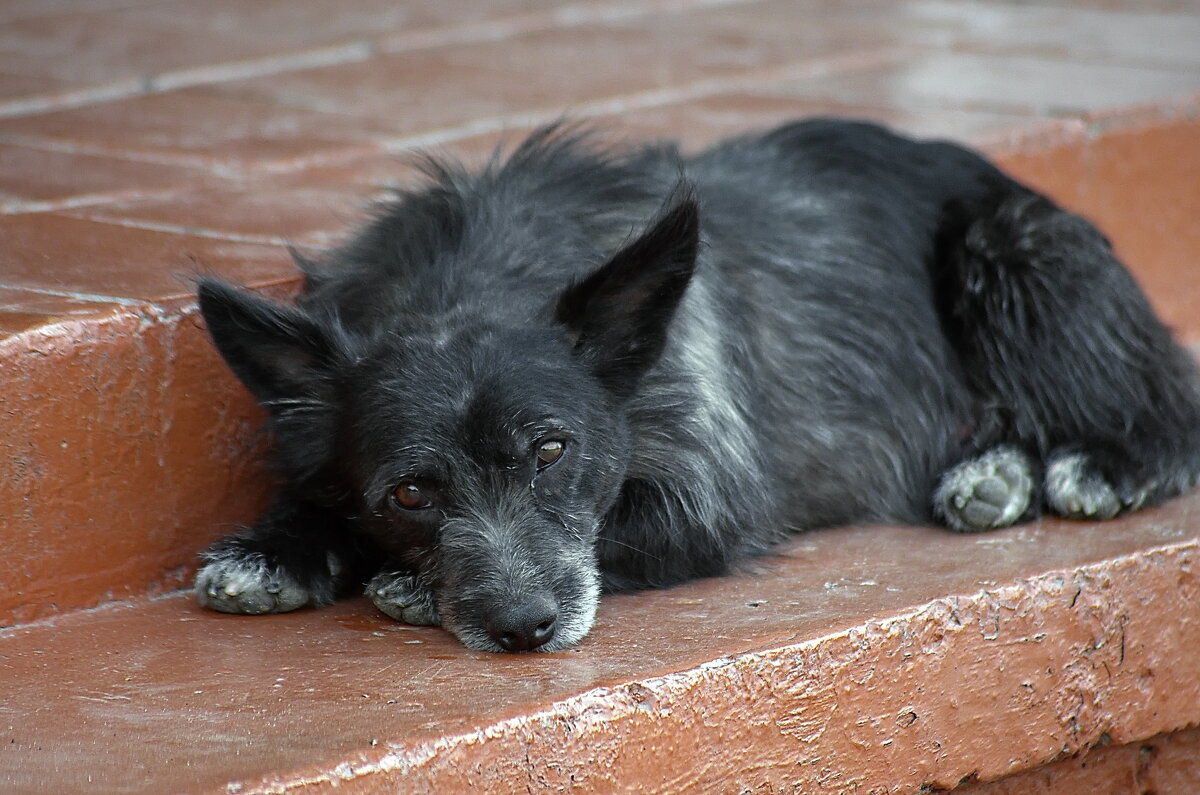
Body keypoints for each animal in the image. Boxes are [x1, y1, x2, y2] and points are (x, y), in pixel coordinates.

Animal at [192, 120, 1200, 653]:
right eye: (408, 492)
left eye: (551, 449)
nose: (523, 627)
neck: (471, 275)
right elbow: (316, 493)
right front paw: (278, 547)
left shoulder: (712, 494)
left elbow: (636, 528)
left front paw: (395, 581)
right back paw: (994, 476)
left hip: (1018, 254)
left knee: (1170, 414)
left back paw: (1098, 462)